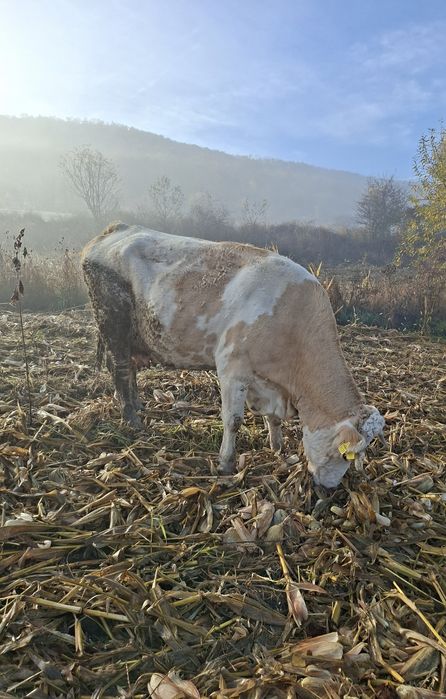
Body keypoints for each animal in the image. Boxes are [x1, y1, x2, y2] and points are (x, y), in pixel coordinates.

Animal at [81, 223, 385, 488]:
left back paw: (138, 405)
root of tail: (116, 228)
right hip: (113, 324)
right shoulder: (231, 368)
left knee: (128, 371)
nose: (331, 487)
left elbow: (273, 418)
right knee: (120, 369)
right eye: (344, 454)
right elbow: (233, 420)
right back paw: (132, 420)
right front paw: (226, 463)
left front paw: (277, 447)